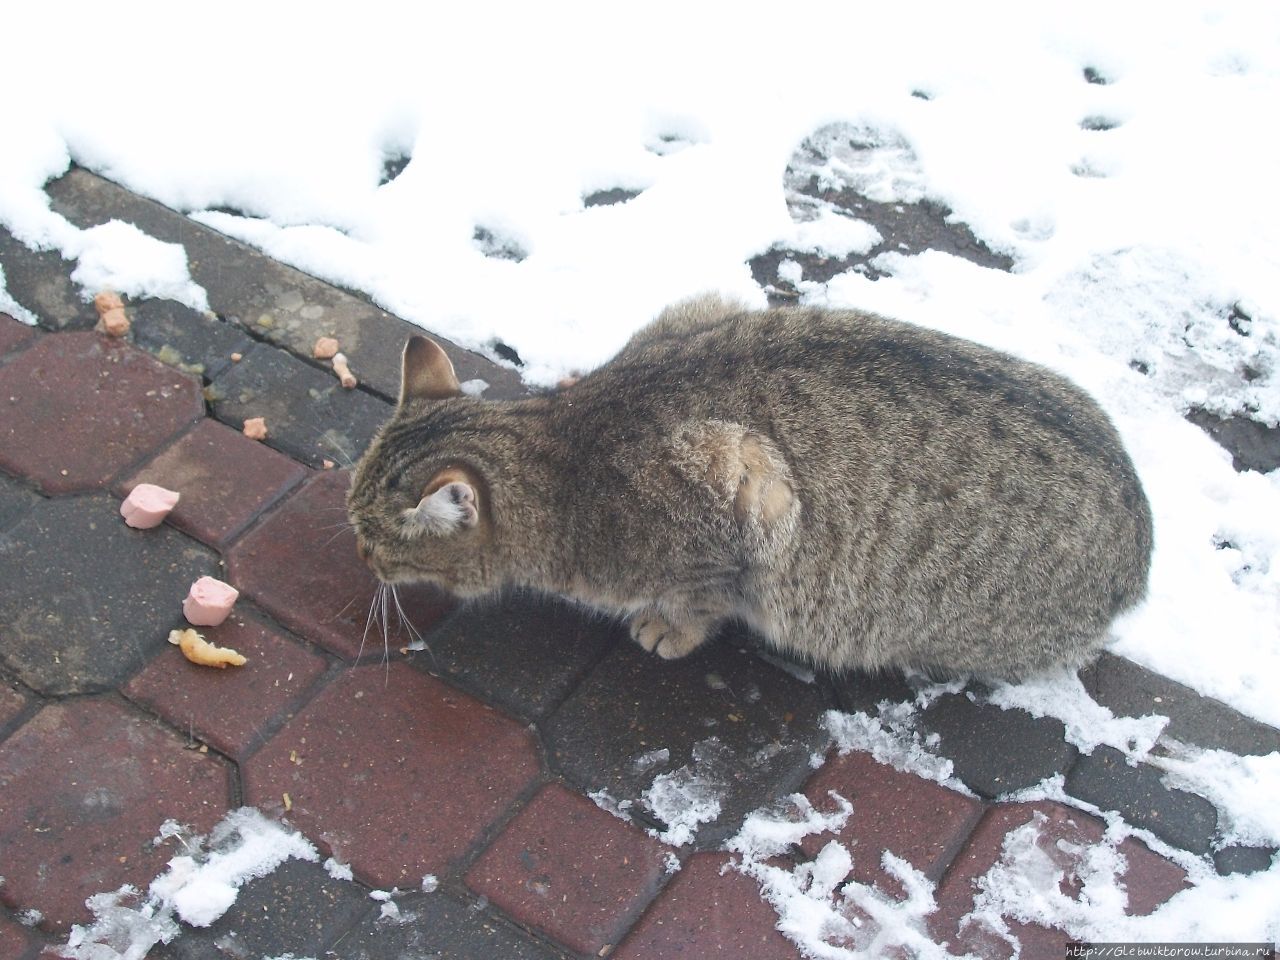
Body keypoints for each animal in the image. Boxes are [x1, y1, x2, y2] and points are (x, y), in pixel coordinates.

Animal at [348, 296, 1152, 680]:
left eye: (374, 542)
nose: (362, 564)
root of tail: (1140, 555)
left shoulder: (748, 481)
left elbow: (704, 595)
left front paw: (669, 626)